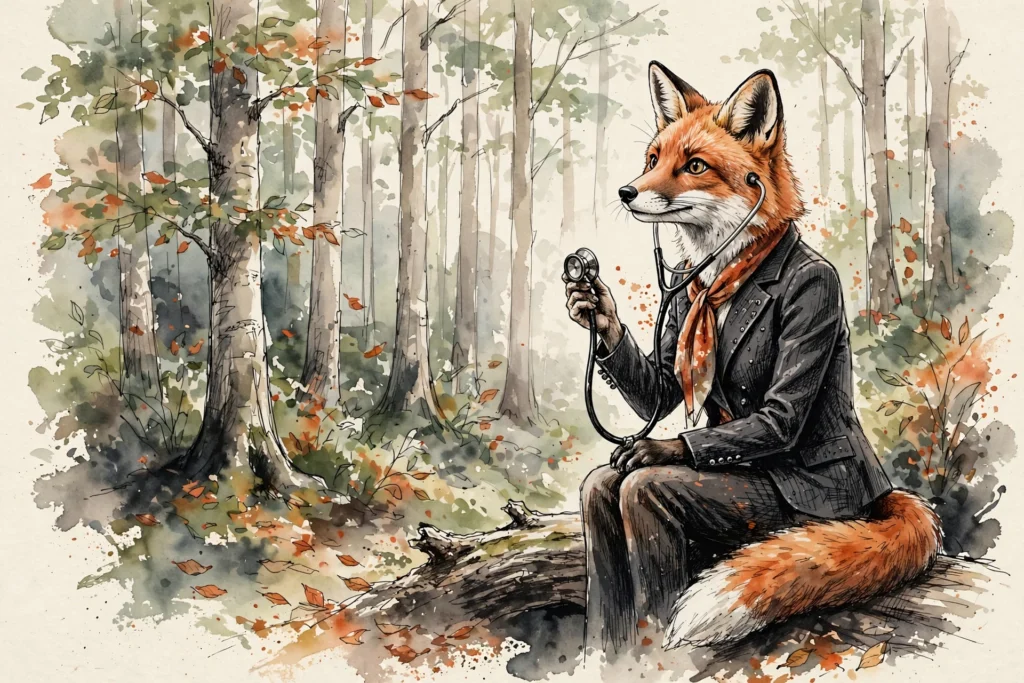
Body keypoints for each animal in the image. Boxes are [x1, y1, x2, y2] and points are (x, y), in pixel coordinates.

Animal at [600, 61, 943, 649]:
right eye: (652, 160)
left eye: (694, 166)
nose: (626, 192)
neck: (722, 277)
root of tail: (877, 496)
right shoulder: (684, 303)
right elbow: (662, 387)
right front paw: (592, 306)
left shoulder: (811, 303)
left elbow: (772, 416)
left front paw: (655, 448)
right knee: (601, 489)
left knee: (640, 491)